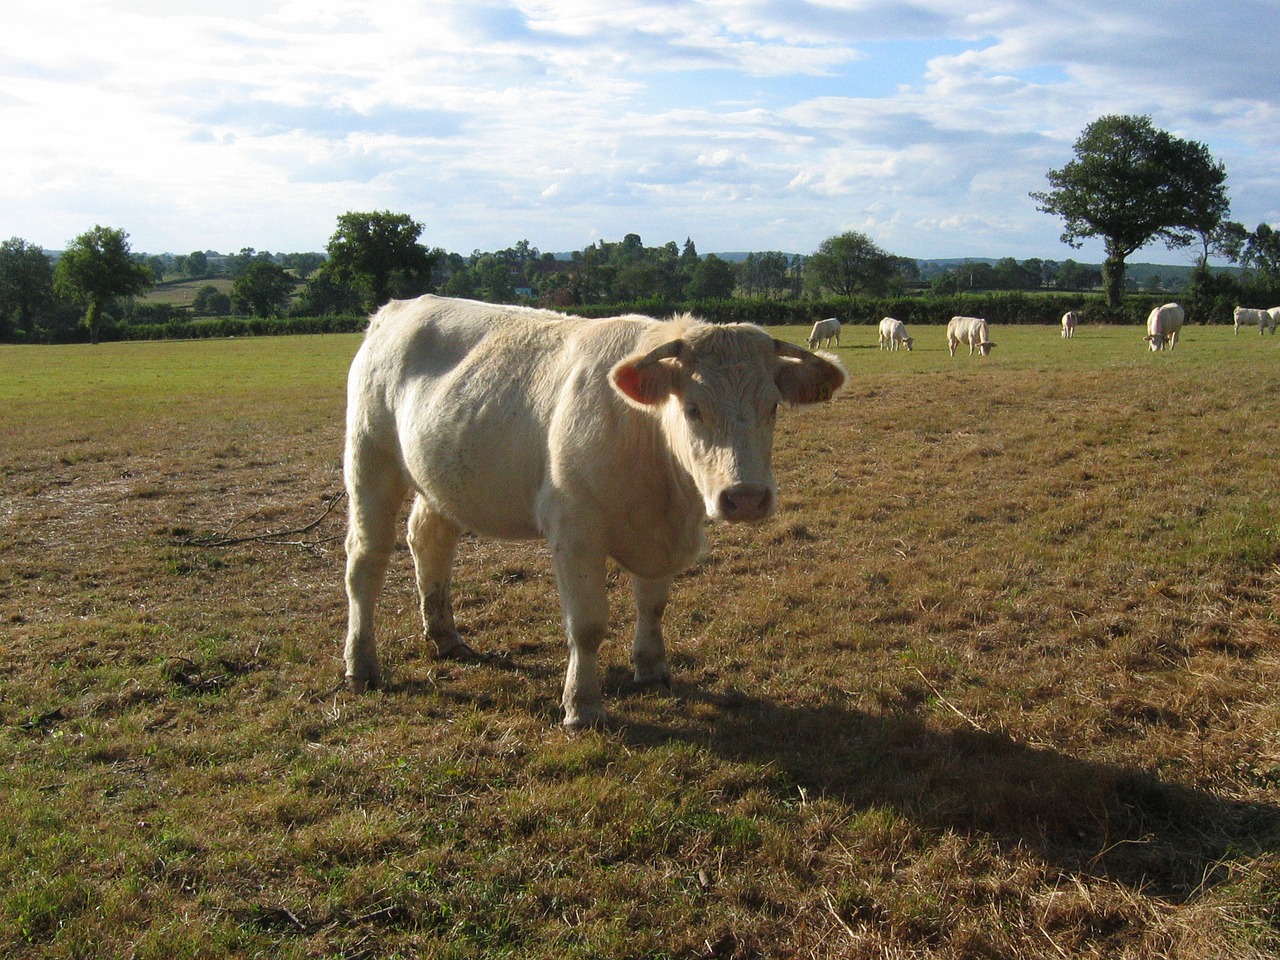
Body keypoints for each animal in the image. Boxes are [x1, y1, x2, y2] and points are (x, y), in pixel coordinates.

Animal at [343, 295, 849, 727]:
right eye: (691, 408)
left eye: (773, 407)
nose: (745, 497)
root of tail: (398, 307)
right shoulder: (575, 532)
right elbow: (586, 624)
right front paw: (582, 704)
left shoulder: (660, 535)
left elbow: (653, 605)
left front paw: (652, 669)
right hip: (370, 458)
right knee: (366, 560)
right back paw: (361, 664)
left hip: (439, 480)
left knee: (430, 542)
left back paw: (445, 636)